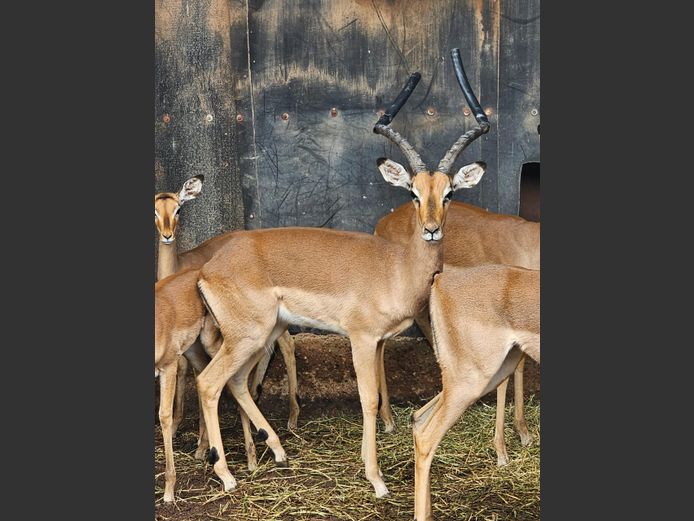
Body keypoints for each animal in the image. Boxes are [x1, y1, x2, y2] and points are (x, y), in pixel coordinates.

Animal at [154, 177, 300, 471]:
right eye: (154, 209)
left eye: (179, 209)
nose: (167, 235)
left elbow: (189, 371)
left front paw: (198, 444)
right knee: (271, 349)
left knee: (286, 345)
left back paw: (288, 420)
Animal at [194, 59, 489, 497]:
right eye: (414, 193)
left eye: (449, 192)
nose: (432, 230)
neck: (396, 267)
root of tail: (208, 268)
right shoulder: (361, 338)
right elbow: (367, 398)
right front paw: (377, 480)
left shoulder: (380, 341)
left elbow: (379, 394)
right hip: (248, 336)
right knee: (209, 383)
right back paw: (227, 475)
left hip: (261, 335)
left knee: (239, 383)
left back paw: (278, 452)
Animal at [374, 50, 539, 465]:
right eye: (414, 191)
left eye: (450, 193)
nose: (432, 228)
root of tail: (383, 222)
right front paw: (503, 449)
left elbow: (517, 367)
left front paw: (522, 434)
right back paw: (389, 420)